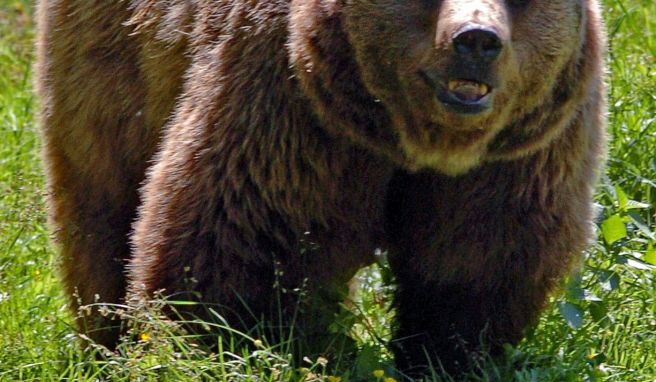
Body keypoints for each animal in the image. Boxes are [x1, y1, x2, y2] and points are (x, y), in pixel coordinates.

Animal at [36, 0, 608, 376]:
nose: (476, 40)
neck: (408, 140)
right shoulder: (289, 110)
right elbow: (238, 251)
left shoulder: (516, 156)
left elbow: (475, 261)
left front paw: (443, 356)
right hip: (110, 65)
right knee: (101, 204)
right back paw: (105, 343)